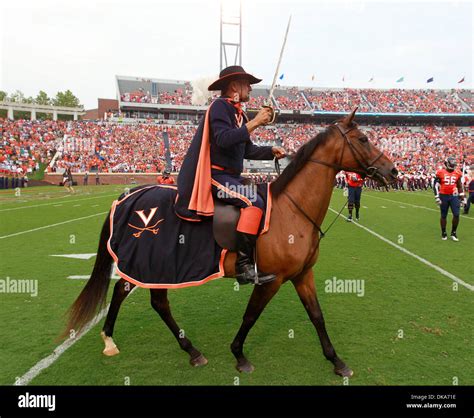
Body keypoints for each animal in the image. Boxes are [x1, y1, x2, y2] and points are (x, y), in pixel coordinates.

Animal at [63, 108, 396, 378]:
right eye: (364, 139)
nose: (392, 171)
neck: (292, 209)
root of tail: (130, 195)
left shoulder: (303, 275)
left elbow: (317, 316)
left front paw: (337, 361)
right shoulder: (271, 280)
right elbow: (251, 315)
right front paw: (239, 355)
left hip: (151, 266)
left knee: (131, 293)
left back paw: (134, 341)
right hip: (154, 264)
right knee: (148, 299)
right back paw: (175, 348)